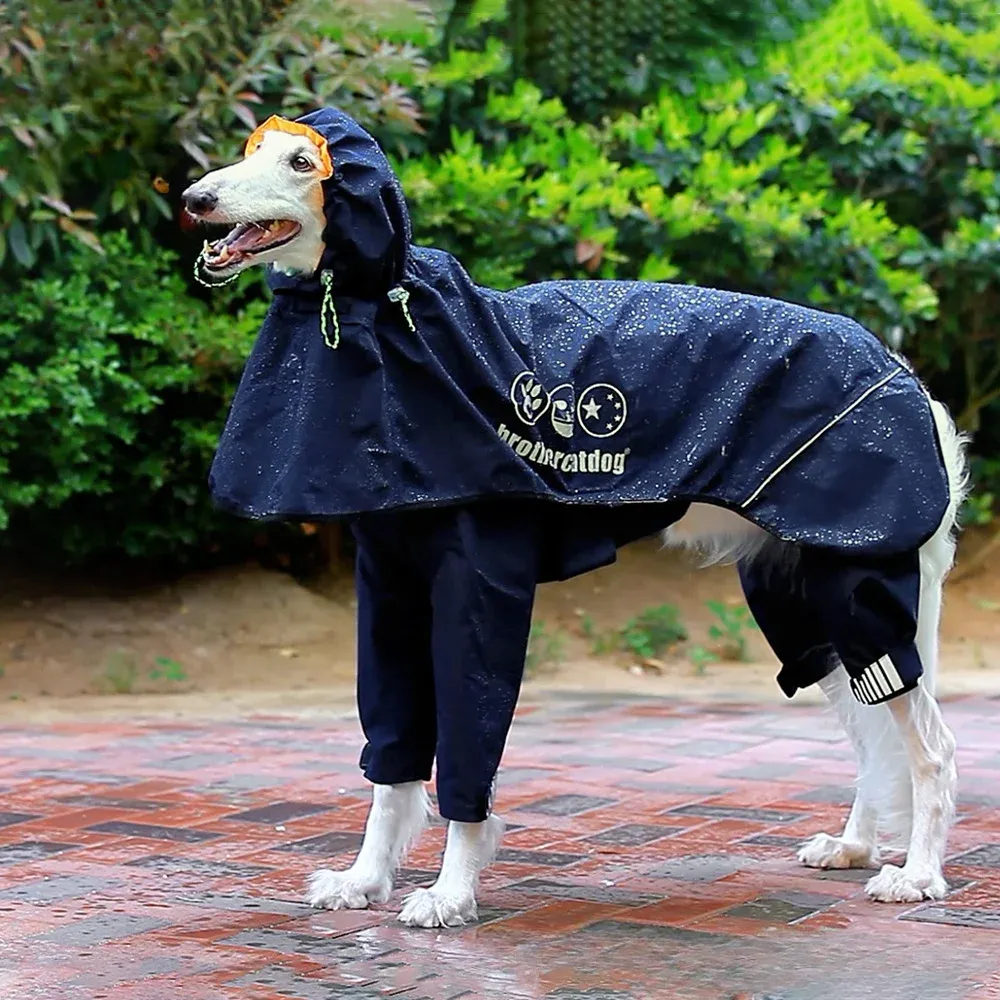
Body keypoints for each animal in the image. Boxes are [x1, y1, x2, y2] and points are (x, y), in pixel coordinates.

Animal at [184, 111, 964, 928]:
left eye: (302, 162)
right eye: (250, 149)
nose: (193, 199)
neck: (388, 314)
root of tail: (907, 378)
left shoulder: (479, 593)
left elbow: (466, 759)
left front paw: (451, 892)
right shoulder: (389, 592)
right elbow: (390, 766)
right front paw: (365, 879)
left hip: (860, 590)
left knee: (931, 751)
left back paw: (918, 875)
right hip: (809, 614)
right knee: (875, 742)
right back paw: (856, 846)